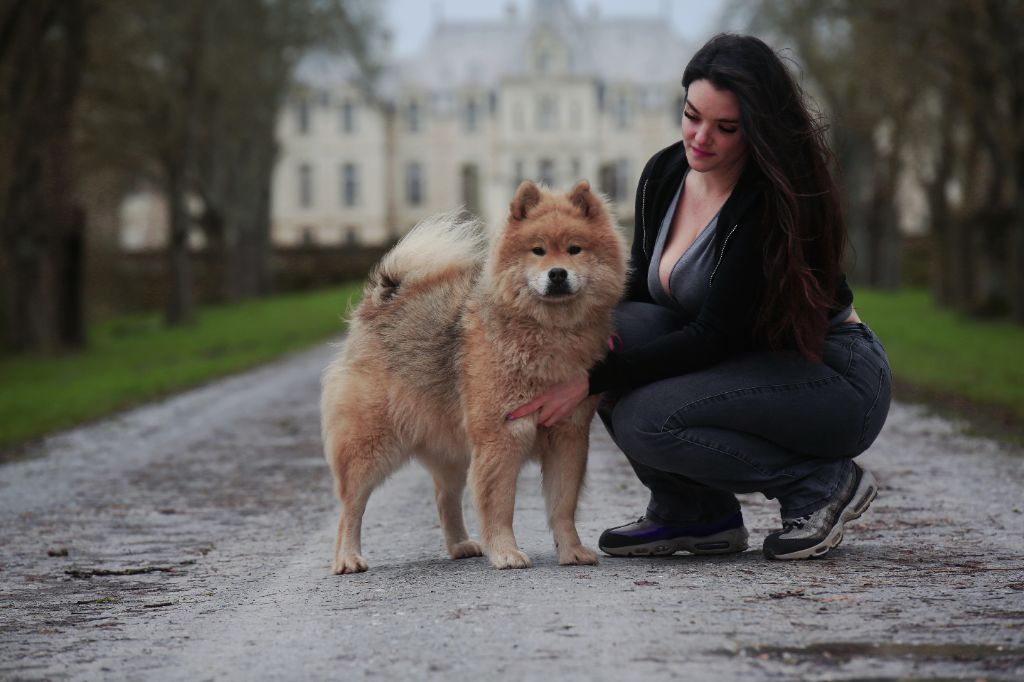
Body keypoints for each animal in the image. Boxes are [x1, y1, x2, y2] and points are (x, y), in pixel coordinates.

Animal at [321, 179, 622, 569]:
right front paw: (506, 552)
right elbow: (499, 506)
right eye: (538, 251)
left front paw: (571, 550)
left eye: (575, 250)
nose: (557, 273)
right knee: (350, 508)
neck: (546, 333)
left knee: (444, 499)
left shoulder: (567, 436)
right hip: (370, 446)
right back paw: (348, 558)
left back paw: (461, 545)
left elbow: (562, 507)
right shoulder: (502, 436)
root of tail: (378, 304)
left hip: (450, 451)